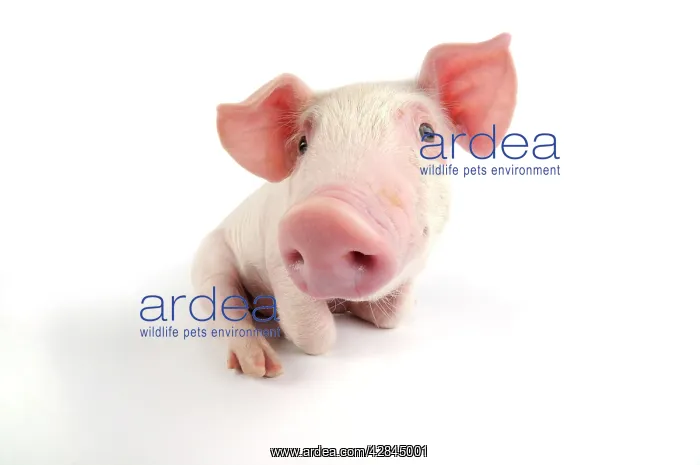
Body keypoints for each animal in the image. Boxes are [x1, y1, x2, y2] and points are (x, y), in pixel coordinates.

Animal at [191, 33, 517, 377]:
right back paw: (263, 366)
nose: (323, 219)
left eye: (427, 132)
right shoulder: (275, 259)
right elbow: (315, 334)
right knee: (225, 301)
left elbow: (392, 316)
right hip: (209, 261)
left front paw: (375, 309)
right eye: (302, 144)